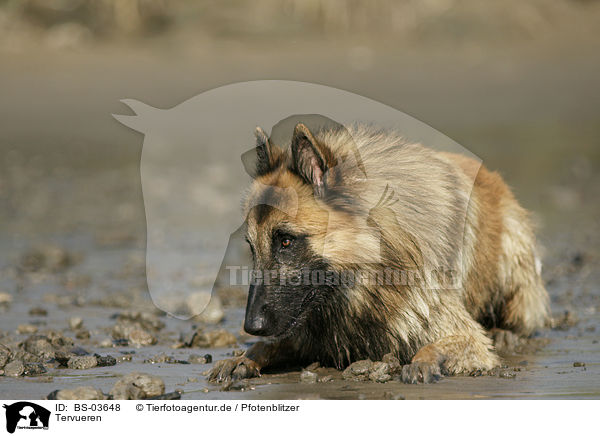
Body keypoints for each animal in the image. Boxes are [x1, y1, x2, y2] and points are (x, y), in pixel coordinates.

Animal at [206, 121, 548, 384]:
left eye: (286, 241)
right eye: (251, 247)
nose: (251, 327)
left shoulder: (467, 338)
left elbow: (445, 345)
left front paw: (423, 361)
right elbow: (269, 346)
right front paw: (243, 356)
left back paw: (505, 333)